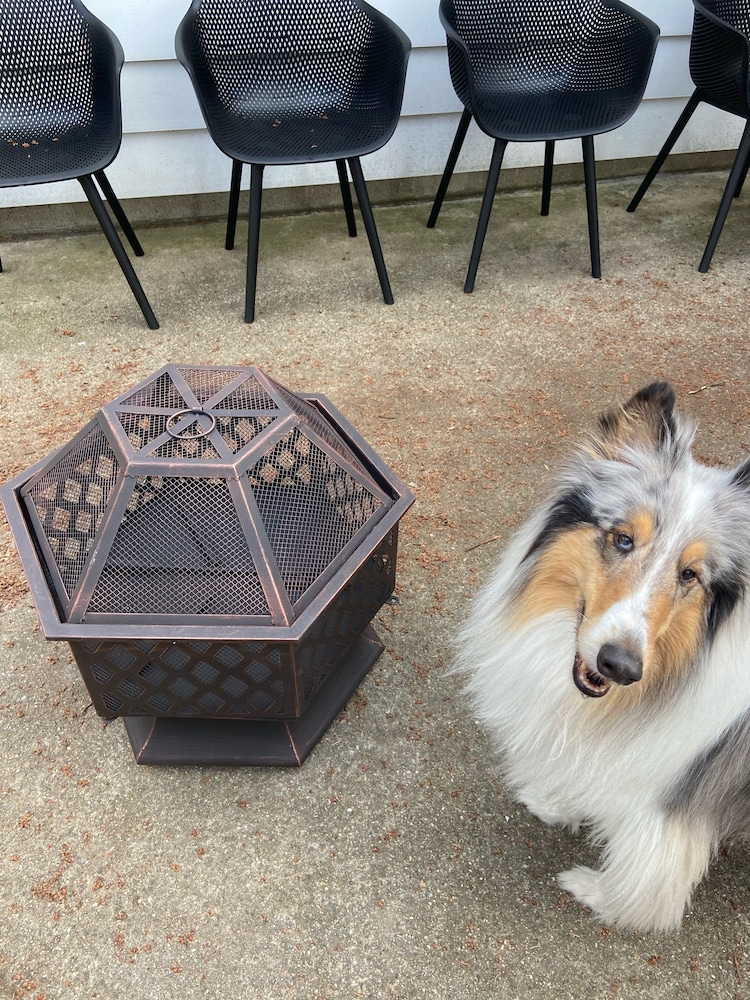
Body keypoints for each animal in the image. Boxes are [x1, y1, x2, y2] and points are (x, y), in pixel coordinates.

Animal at [456, 381, 750, 932]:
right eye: (623, 539)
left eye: (690, 574)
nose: (622, 667)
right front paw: (554, 801)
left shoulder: (674, 796)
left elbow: (648, 867)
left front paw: (600, 895)